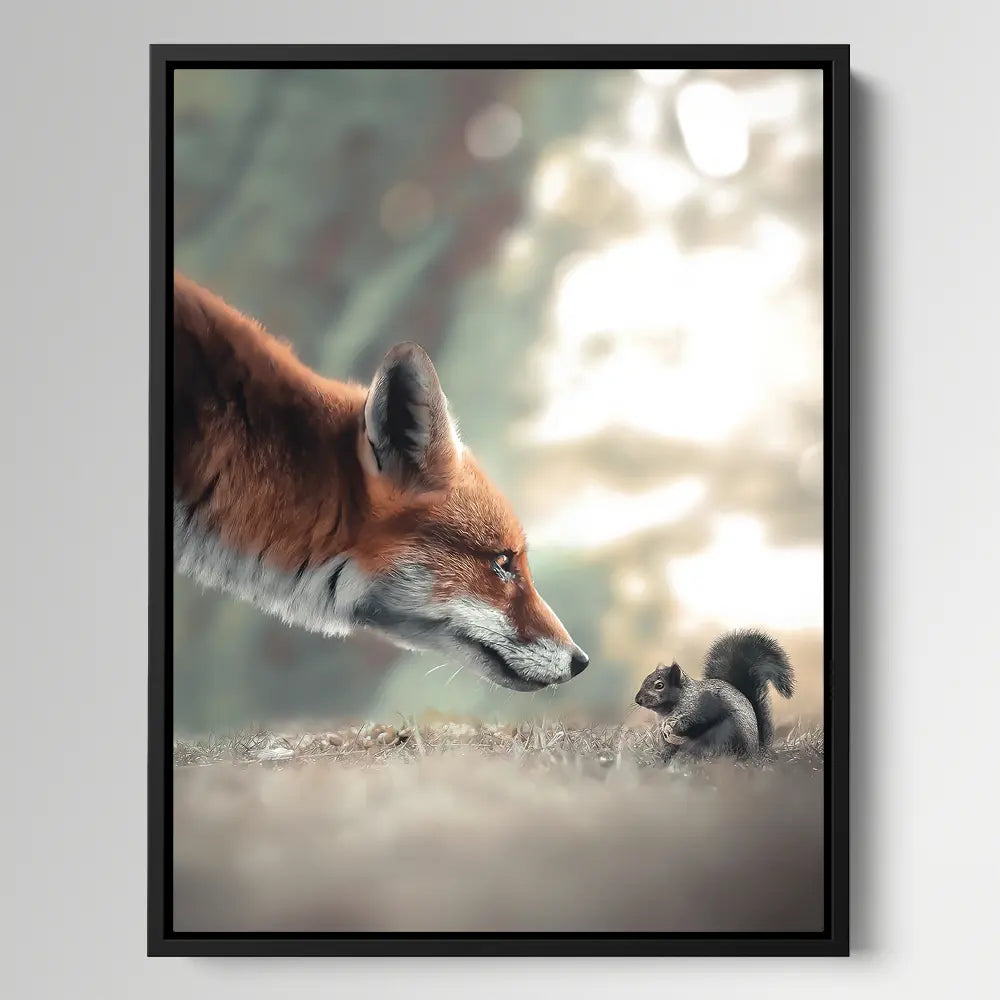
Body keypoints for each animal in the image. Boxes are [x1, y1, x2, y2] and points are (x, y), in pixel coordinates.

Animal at [633, 628, 795, 762]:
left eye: (659, 685)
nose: (637, 699)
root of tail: (756, 751)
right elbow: (668, 745)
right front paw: (662, 758)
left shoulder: (702, 707)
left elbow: (696, 721)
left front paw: (677, 726)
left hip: (728, 734)